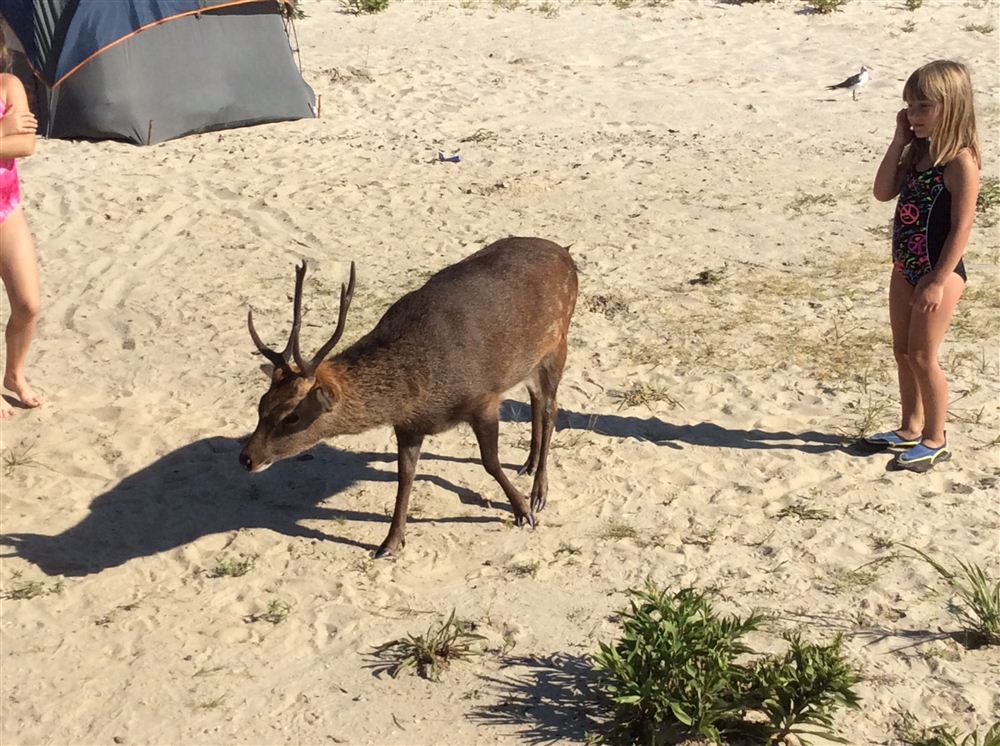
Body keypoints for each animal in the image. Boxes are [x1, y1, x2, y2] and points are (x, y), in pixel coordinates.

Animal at [238, 235, 580, 556]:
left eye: (292, 415)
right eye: (261, 405)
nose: (246, 458)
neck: (420, 391)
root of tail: (565, 253)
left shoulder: (484, 398)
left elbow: (491, 462)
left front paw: (522, 511)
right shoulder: (407, 425)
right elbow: (405, 477)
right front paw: (390, 542)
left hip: (558, 342)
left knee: (551, 408)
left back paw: (539, 493)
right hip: (530, 363)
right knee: (537, 401)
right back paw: (528, 464)